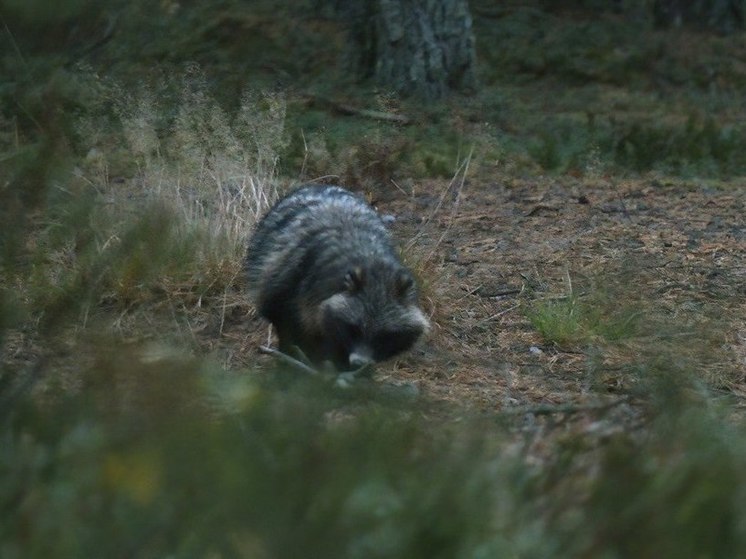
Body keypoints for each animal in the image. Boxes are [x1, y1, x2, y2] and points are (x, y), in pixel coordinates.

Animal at [247, 185, 428, 372]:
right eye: (354, 329)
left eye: (384, 336)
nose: (359, 364)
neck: (371, 260)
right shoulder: (293, 287)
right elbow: (292, 330)